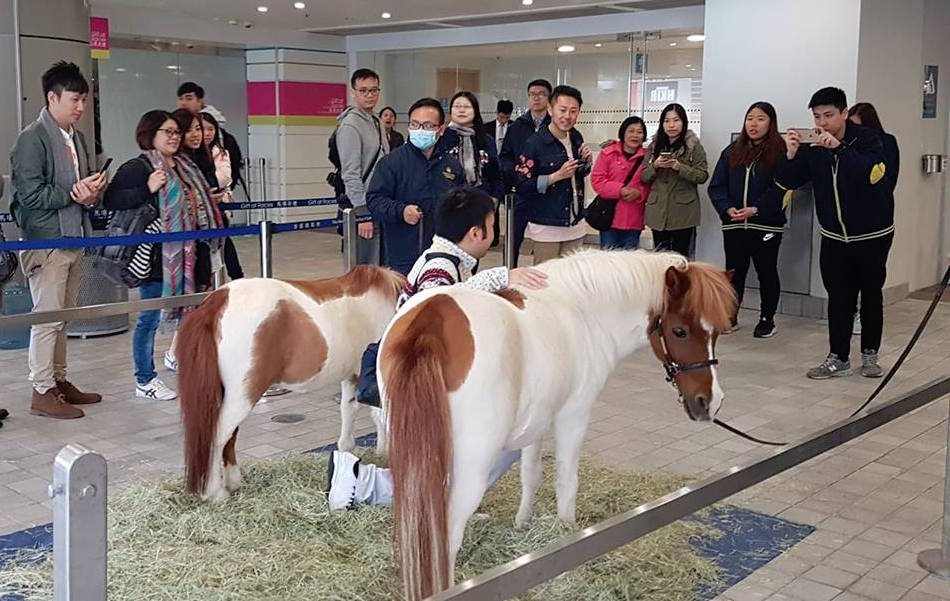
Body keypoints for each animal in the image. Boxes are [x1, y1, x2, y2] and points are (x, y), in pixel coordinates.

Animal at [178, 266, 406, 502]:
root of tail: (217, 302)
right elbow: (380, 416)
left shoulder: (353, 376)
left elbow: (349, 411)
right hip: (243, 394)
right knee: (220, 435)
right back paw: (216, 493)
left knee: (230, 435)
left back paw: (233, 482)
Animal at [380, 250, 736, 600]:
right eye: (680, 331)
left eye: (716, 333)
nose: (710, 402)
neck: (581, 311)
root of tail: (431, 322)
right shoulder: (573, 417)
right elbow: (566, 483)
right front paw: (567, 540)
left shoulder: (536, 422)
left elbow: (531, 474)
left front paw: (523, 524)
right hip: (470, 466)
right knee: (448, 536)